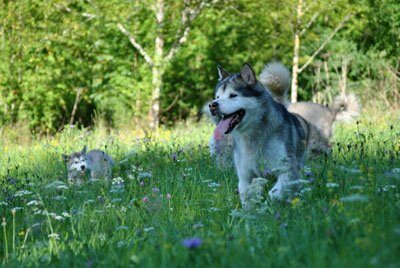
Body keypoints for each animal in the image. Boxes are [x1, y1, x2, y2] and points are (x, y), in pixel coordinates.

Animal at [208, 63, 314, 206]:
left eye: (233, 95)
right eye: (217, 97)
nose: (212, 105)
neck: (251, 135)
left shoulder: (288, 169)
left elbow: (274, 194)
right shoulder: (245, 176)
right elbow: (247, 198)